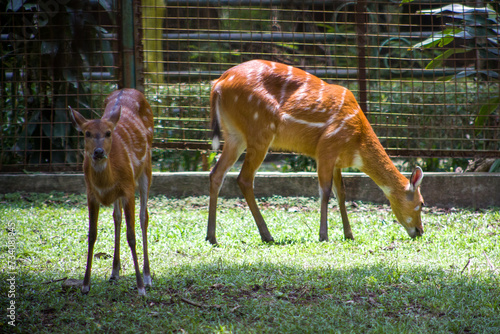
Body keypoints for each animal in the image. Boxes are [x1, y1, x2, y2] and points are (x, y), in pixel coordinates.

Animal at [69, 88, 153, 294]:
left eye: (108, 133)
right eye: (86, 133)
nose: (98, 152)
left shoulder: (128, 189)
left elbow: (131, 236)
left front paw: (140, 287)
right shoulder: (91, 193)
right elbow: (92, 234)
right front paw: (85, 285)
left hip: (146, 169)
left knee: (144, 216)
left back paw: (147, 276)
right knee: (117, 217)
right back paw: (115, 271)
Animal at [205, 59, 424, 245]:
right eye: (421, 203)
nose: (420, 231)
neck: (357, 142)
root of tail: (218, 84)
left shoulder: (336, 161)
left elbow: (341, 192)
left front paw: (349, 234)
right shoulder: (326, 149)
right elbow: (325, 192)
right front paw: (323, 235)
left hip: (234, 135)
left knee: (216, 173)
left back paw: (212, 237)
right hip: (260, 132)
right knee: (244, 178)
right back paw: (267, 235)